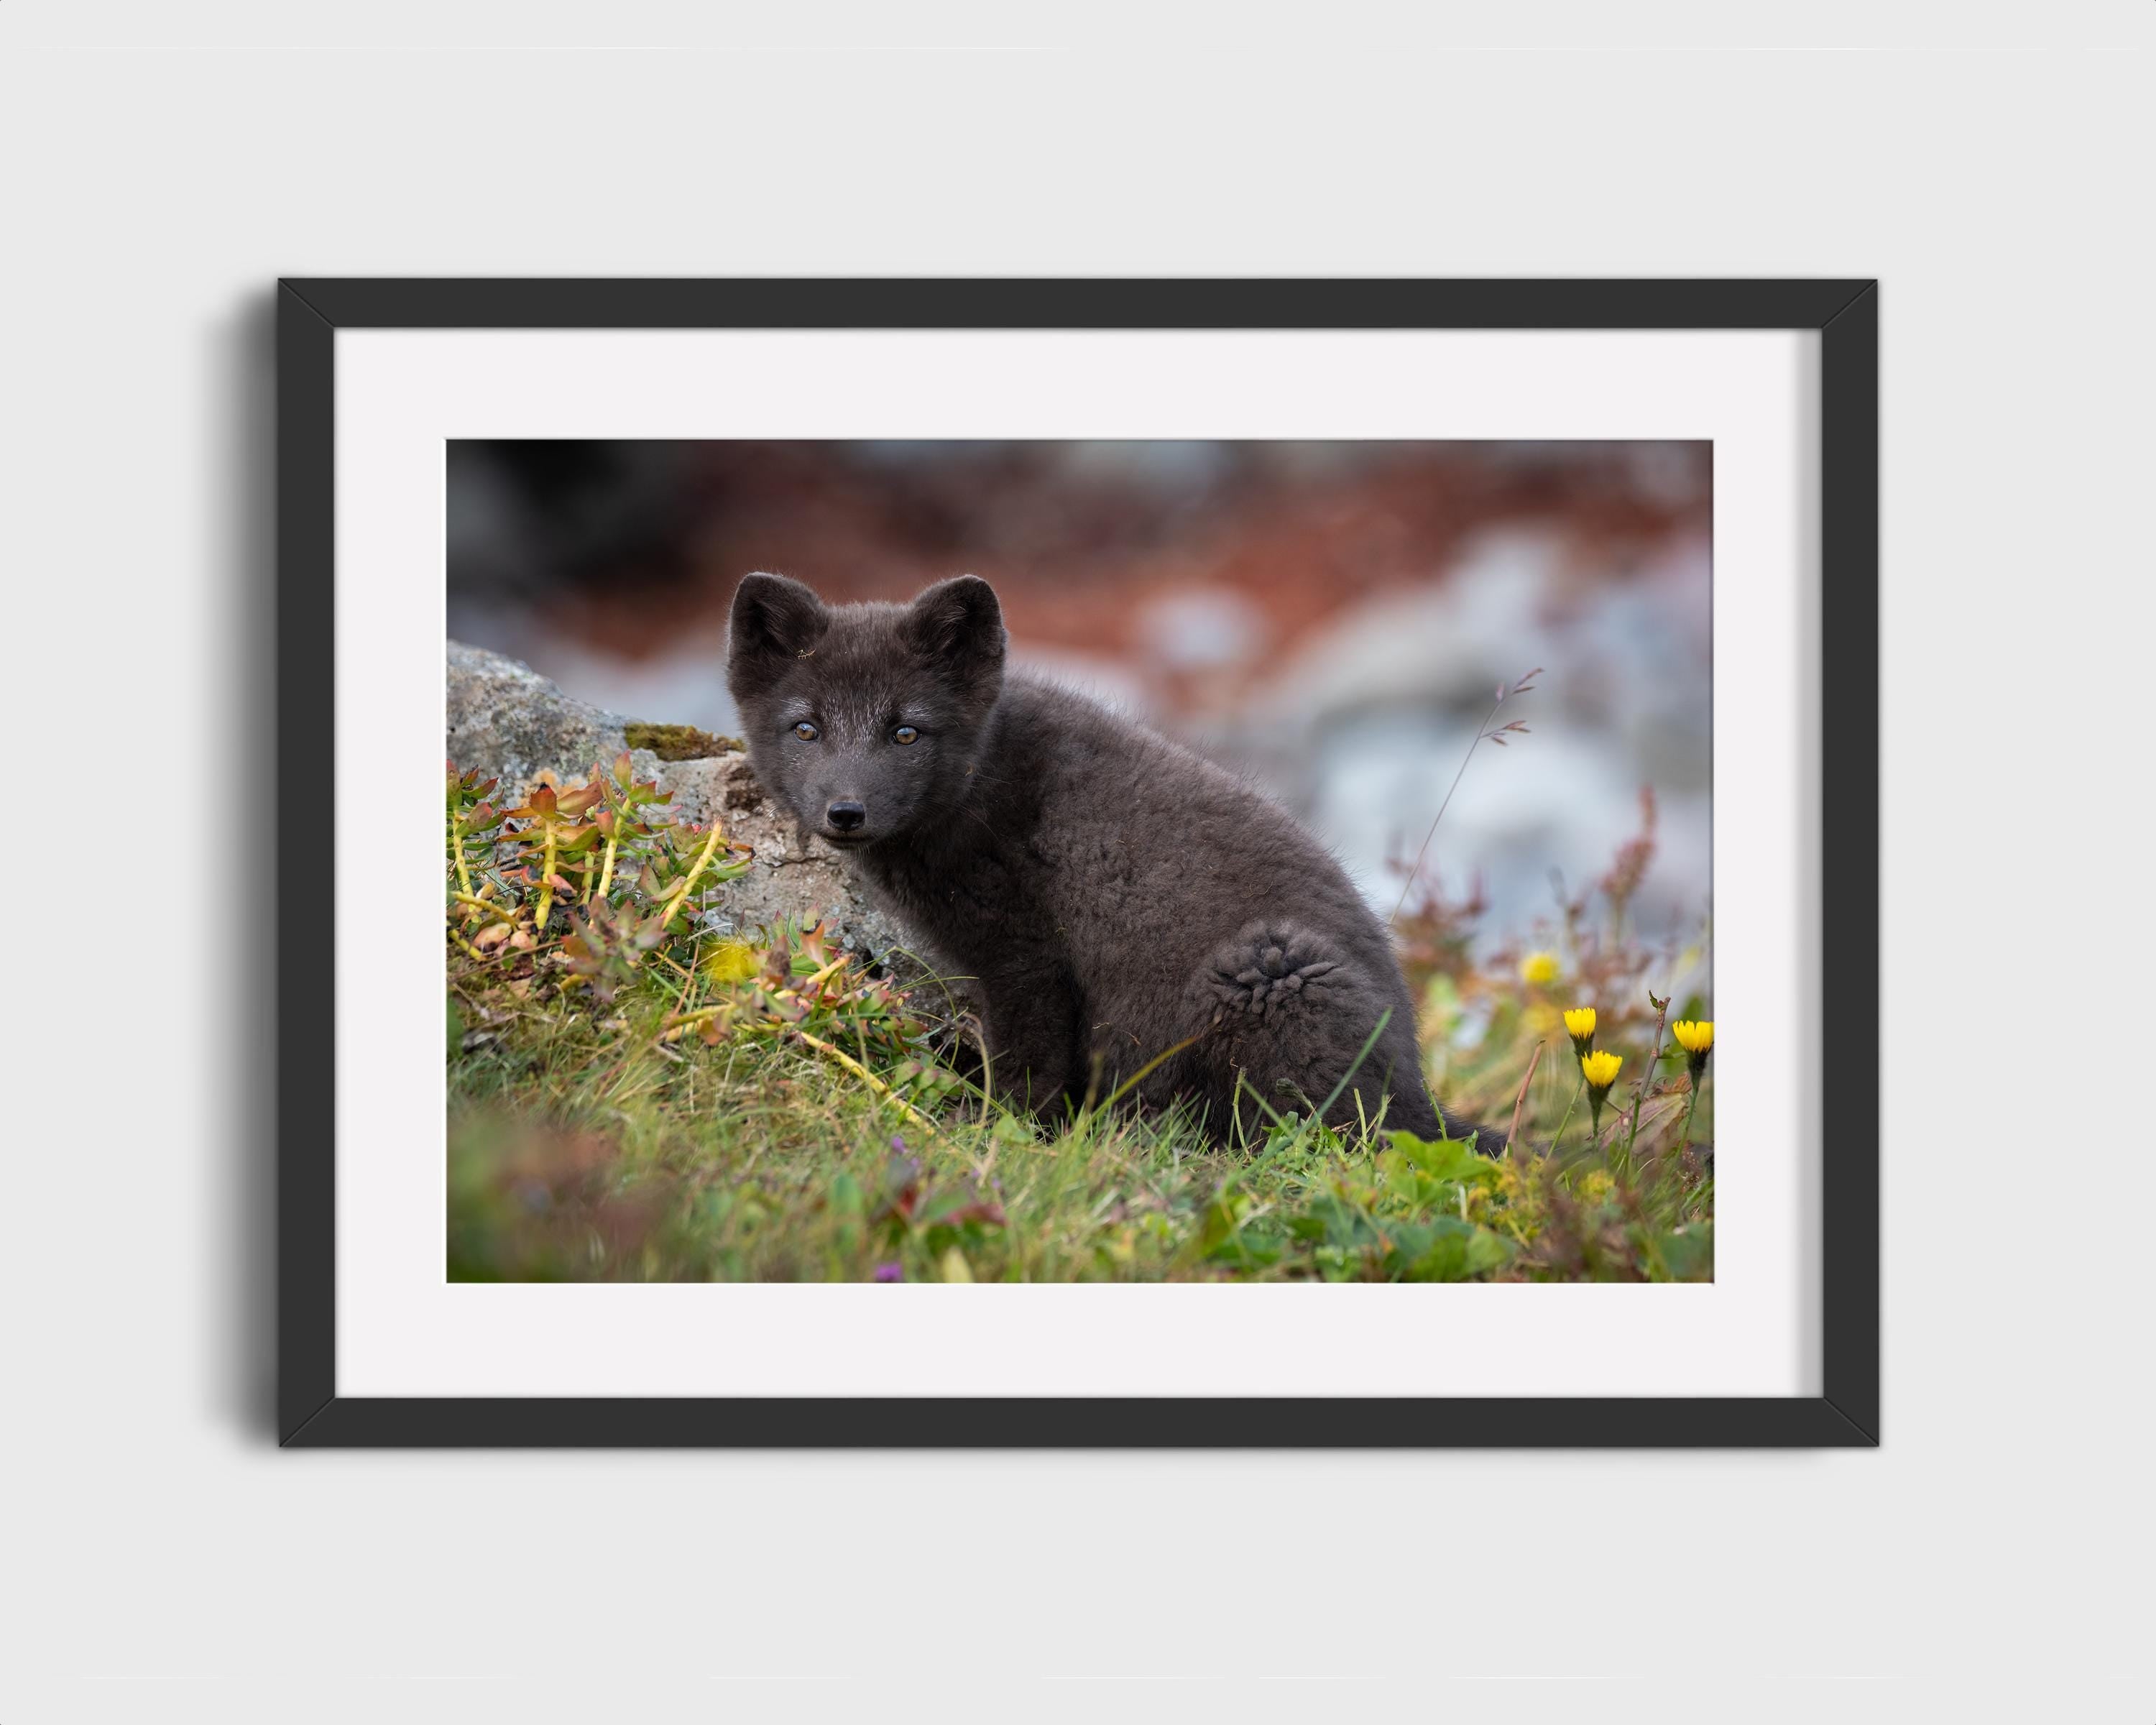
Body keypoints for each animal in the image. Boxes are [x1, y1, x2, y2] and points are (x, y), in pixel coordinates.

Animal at [725, 571, 1496, 1151]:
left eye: (906, 732)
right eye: (806, 729)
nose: (846, 812)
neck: (980, 786)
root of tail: (1419, 1090)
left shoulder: (1026, 956)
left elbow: (1030, 1067)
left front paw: (1002, 1134)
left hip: (1269, 971)